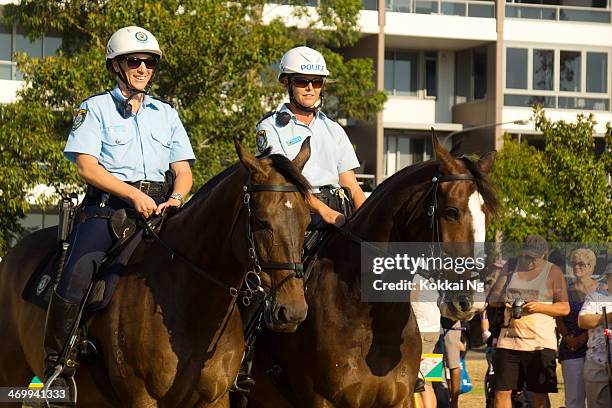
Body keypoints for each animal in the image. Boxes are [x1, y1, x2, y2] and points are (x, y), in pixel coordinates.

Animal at [0, 139, 314, 404]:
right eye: (261, 221)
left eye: (307, 220)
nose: (292, 311)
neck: (192, 302)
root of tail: (12, 254)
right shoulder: (143, 398)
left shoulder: (216, 399)